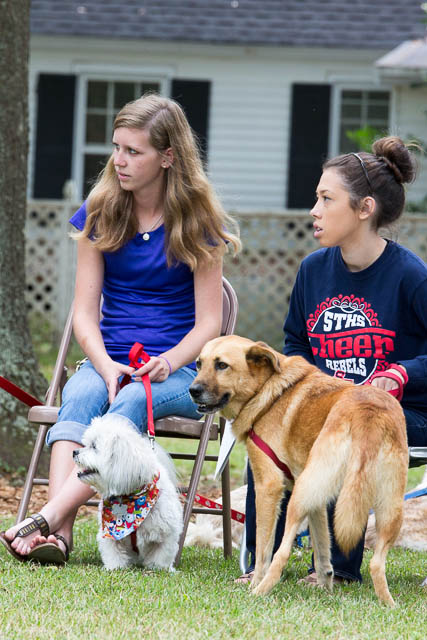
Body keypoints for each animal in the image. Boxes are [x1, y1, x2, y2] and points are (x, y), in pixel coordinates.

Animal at [74, 416, 184, 568]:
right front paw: (114, 567)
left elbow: (161, 555)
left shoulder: (167, 534)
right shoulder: (110, 534)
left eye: (94, 446)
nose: (74, 452)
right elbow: (113, 553)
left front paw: (158, 568)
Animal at [190, 336, 408, 604]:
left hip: (297, 499)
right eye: (199, 363)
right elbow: (323, 552)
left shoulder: (269, 487)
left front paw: (256, 581)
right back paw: (389, 604)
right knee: (377, 564)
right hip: (385, 507)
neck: (268, 391)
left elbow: (263, 550)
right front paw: (325, 589)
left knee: (281, 553)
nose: (193, 390)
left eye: (222, 365)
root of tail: (368, 412)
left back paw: (258, 592)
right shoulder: (319, 500)